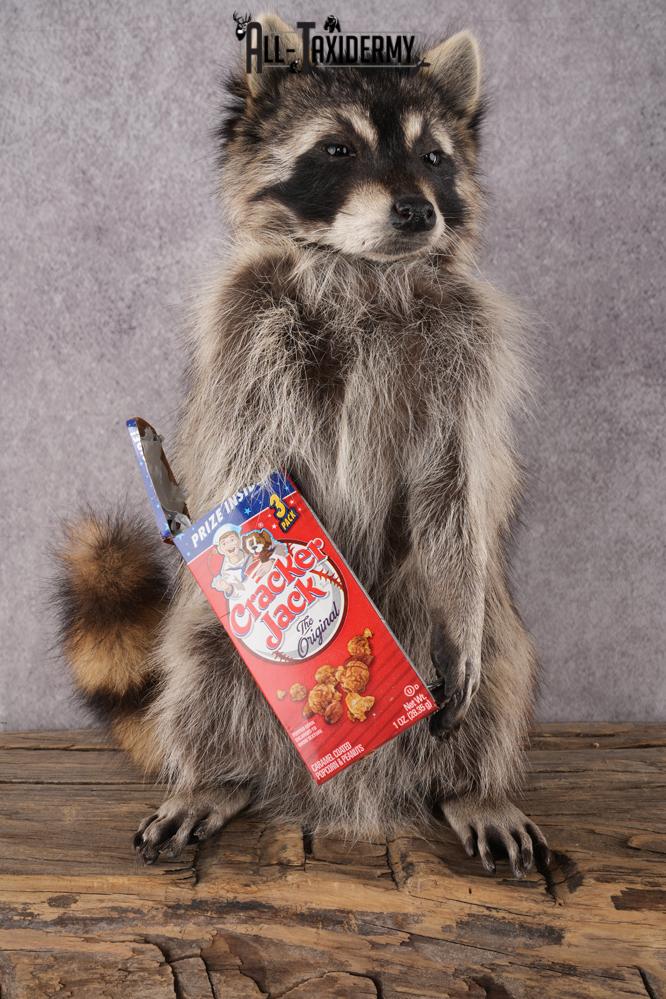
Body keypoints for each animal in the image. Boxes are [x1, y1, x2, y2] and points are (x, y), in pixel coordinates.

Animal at [56, 16, 549, 877]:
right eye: (338, 150)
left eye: (433, 157)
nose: (418, 211)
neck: (363, 269)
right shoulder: (248, 332)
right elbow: (251, 467)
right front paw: (277, 547)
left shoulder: (465, 353)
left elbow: (453, 489)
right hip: (213, 644)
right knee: (203, 665)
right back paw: (215, 774)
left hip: (472, 620)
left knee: (493, 663)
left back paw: (470, 786)